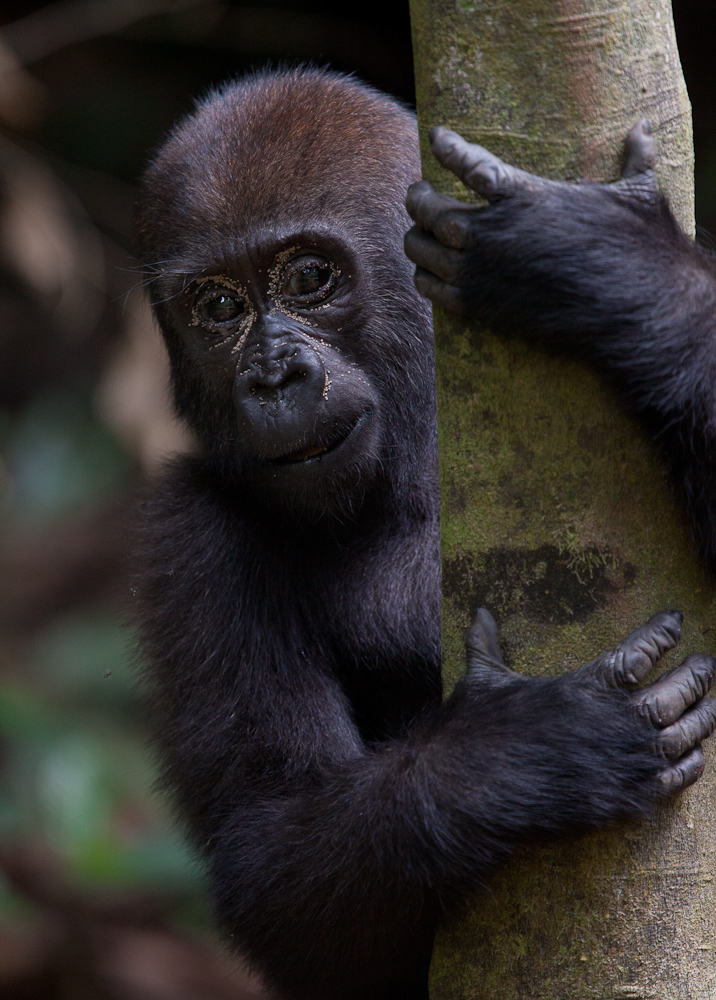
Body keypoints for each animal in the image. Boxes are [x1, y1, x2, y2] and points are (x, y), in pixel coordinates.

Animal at [133, 70, 716, 1000]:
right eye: (219, 306)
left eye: (310, 276)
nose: (273, 377)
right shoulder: (183, 533)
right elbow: (270, 858)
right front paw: (517, 758)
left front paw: (605, 266)